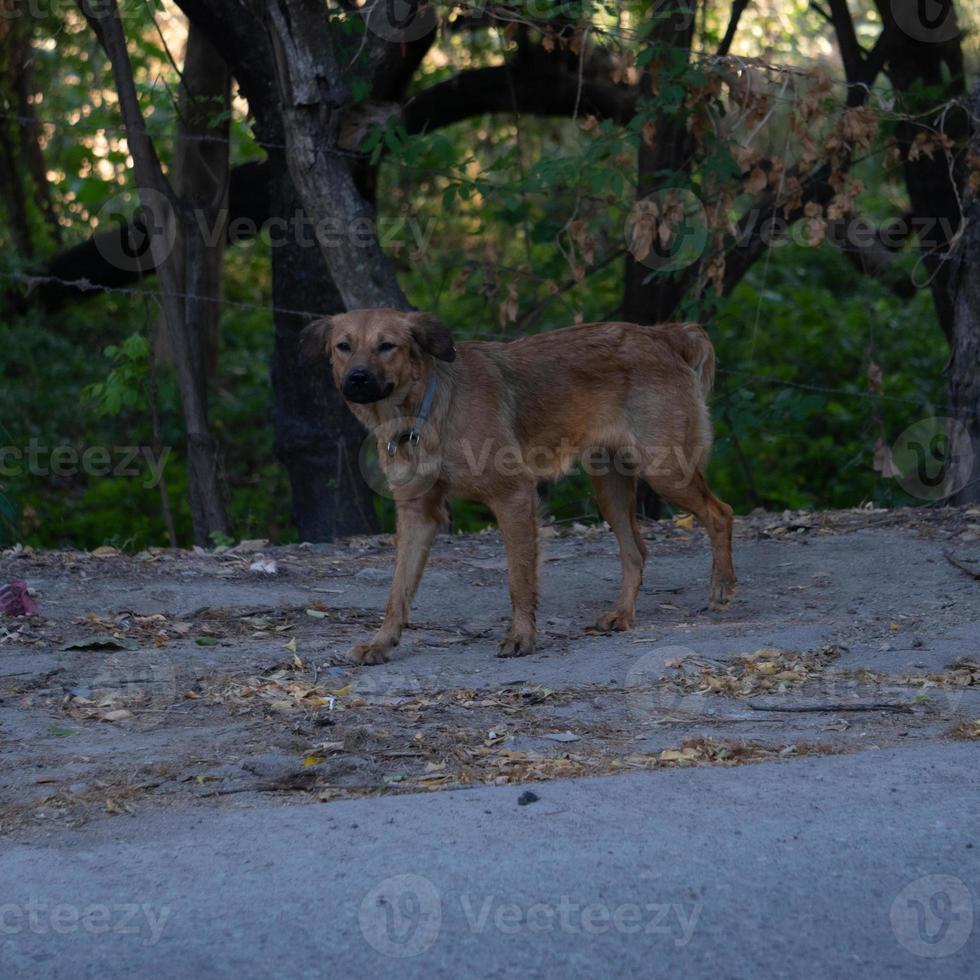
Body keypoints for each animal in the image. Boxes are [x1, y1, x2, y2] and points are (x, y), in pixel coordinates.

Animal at [302, 310, 732, 664]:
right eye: (344, 346)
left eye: (386, 346)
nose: (357, 379)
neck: (428, 410)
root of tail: (663, 334)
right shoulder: (417, 514)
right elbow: (397, 591)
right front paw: (382, 643)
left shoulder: (513, 496)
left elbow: (519, 580)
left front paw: (522, 637)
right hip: (610, 487)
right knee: (636, 551)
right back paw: (623, 614)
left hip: (665, 471)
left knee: (720, 513)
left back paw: (722, 589)